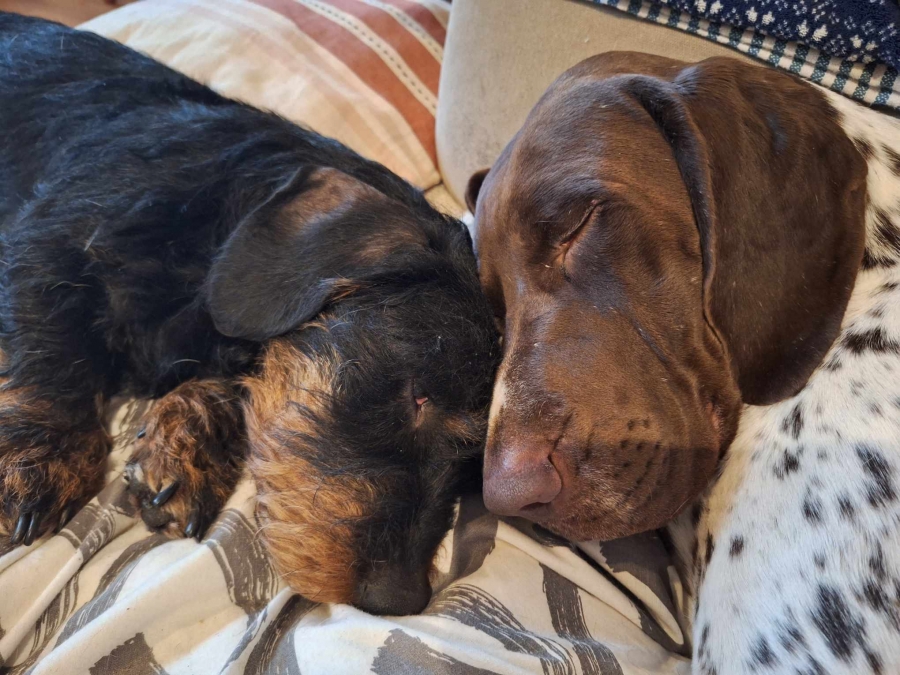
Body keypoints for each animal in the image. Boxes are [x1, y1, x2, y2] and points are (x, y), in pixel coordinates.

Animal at [0, 14, 499, 616]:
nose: (400, 600)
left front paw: (186, 449)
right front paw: (43, 454)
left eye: (470, 462)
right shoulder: (46, 240)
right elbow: (52, 344)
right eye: (417, 397)